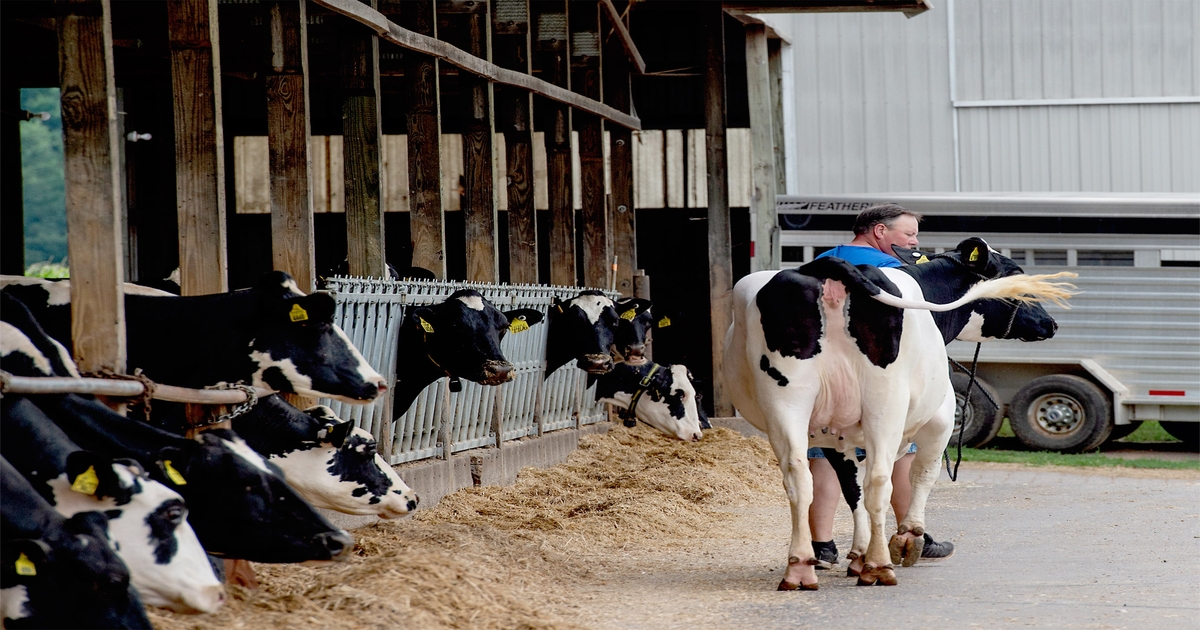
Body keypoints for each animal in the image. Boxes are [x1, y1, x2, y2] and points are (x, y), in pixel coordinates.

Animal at [715, 238, 1075, 592]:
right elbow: (922, 474)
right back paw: (879, 567)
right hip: (883, 402)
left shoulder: (836, 435)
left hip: (787, 401)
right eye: (1015, 276)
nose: (1051, 323)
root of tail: (826, 268)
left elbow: (852, 490)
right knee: (879, 479)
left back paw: (801, 568)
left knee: (799, 479)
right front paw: (908, 538)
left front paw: (858, 554)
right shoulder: (942, 420)